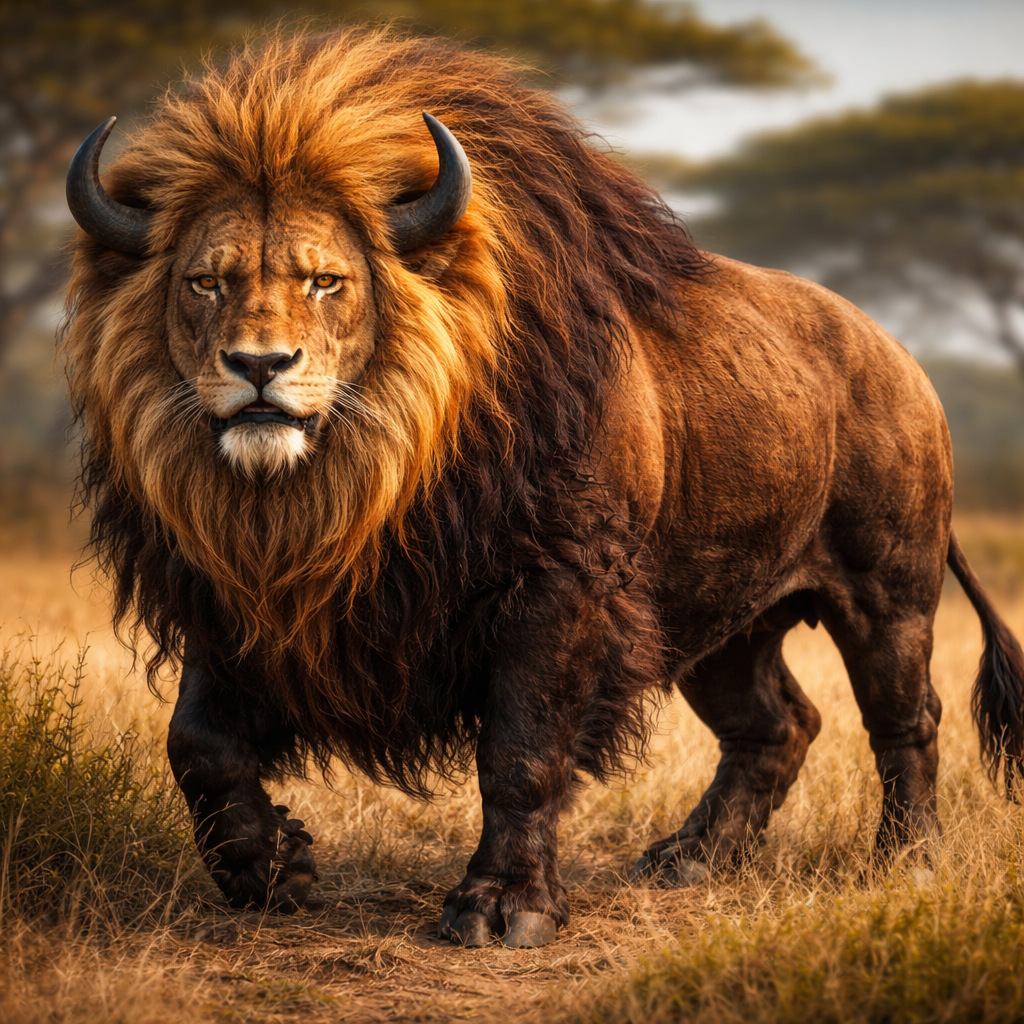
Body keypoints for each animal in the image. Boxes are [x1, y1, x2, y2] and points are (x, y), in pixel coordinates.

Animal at [62, 27, 1024, 948]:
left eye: (325, 280)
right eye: (205, 282)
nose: (258, 366)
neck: (341, 491)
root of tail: (903, 356)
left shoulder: (557, 588)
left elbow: (521, 754)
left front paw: (502, 910)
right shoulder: (227, 594)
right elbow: (197, 745)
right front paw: (270, 871)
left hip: (887, 593)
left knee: (907, 721)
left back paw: (907, 864)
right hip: (716, 617)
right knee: (778, 725)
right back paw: (690, 860)